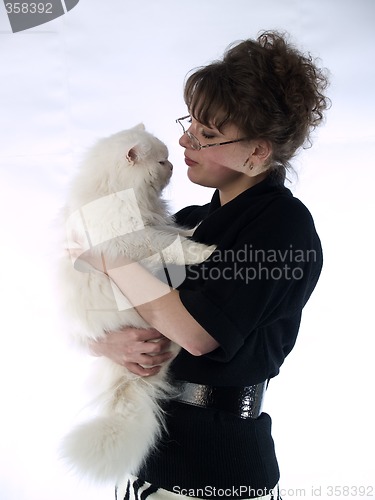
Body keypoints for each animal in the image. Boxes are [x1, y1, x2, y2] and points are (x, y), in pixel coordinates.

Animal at [61, 124, 214, 484]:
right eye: (160, 161)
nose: (172, 165)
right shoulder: (138, 240)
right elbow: (176, 246)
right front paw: (204, 248)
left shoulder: (154, 225)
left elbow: (175, 233)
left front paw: (194, 229)